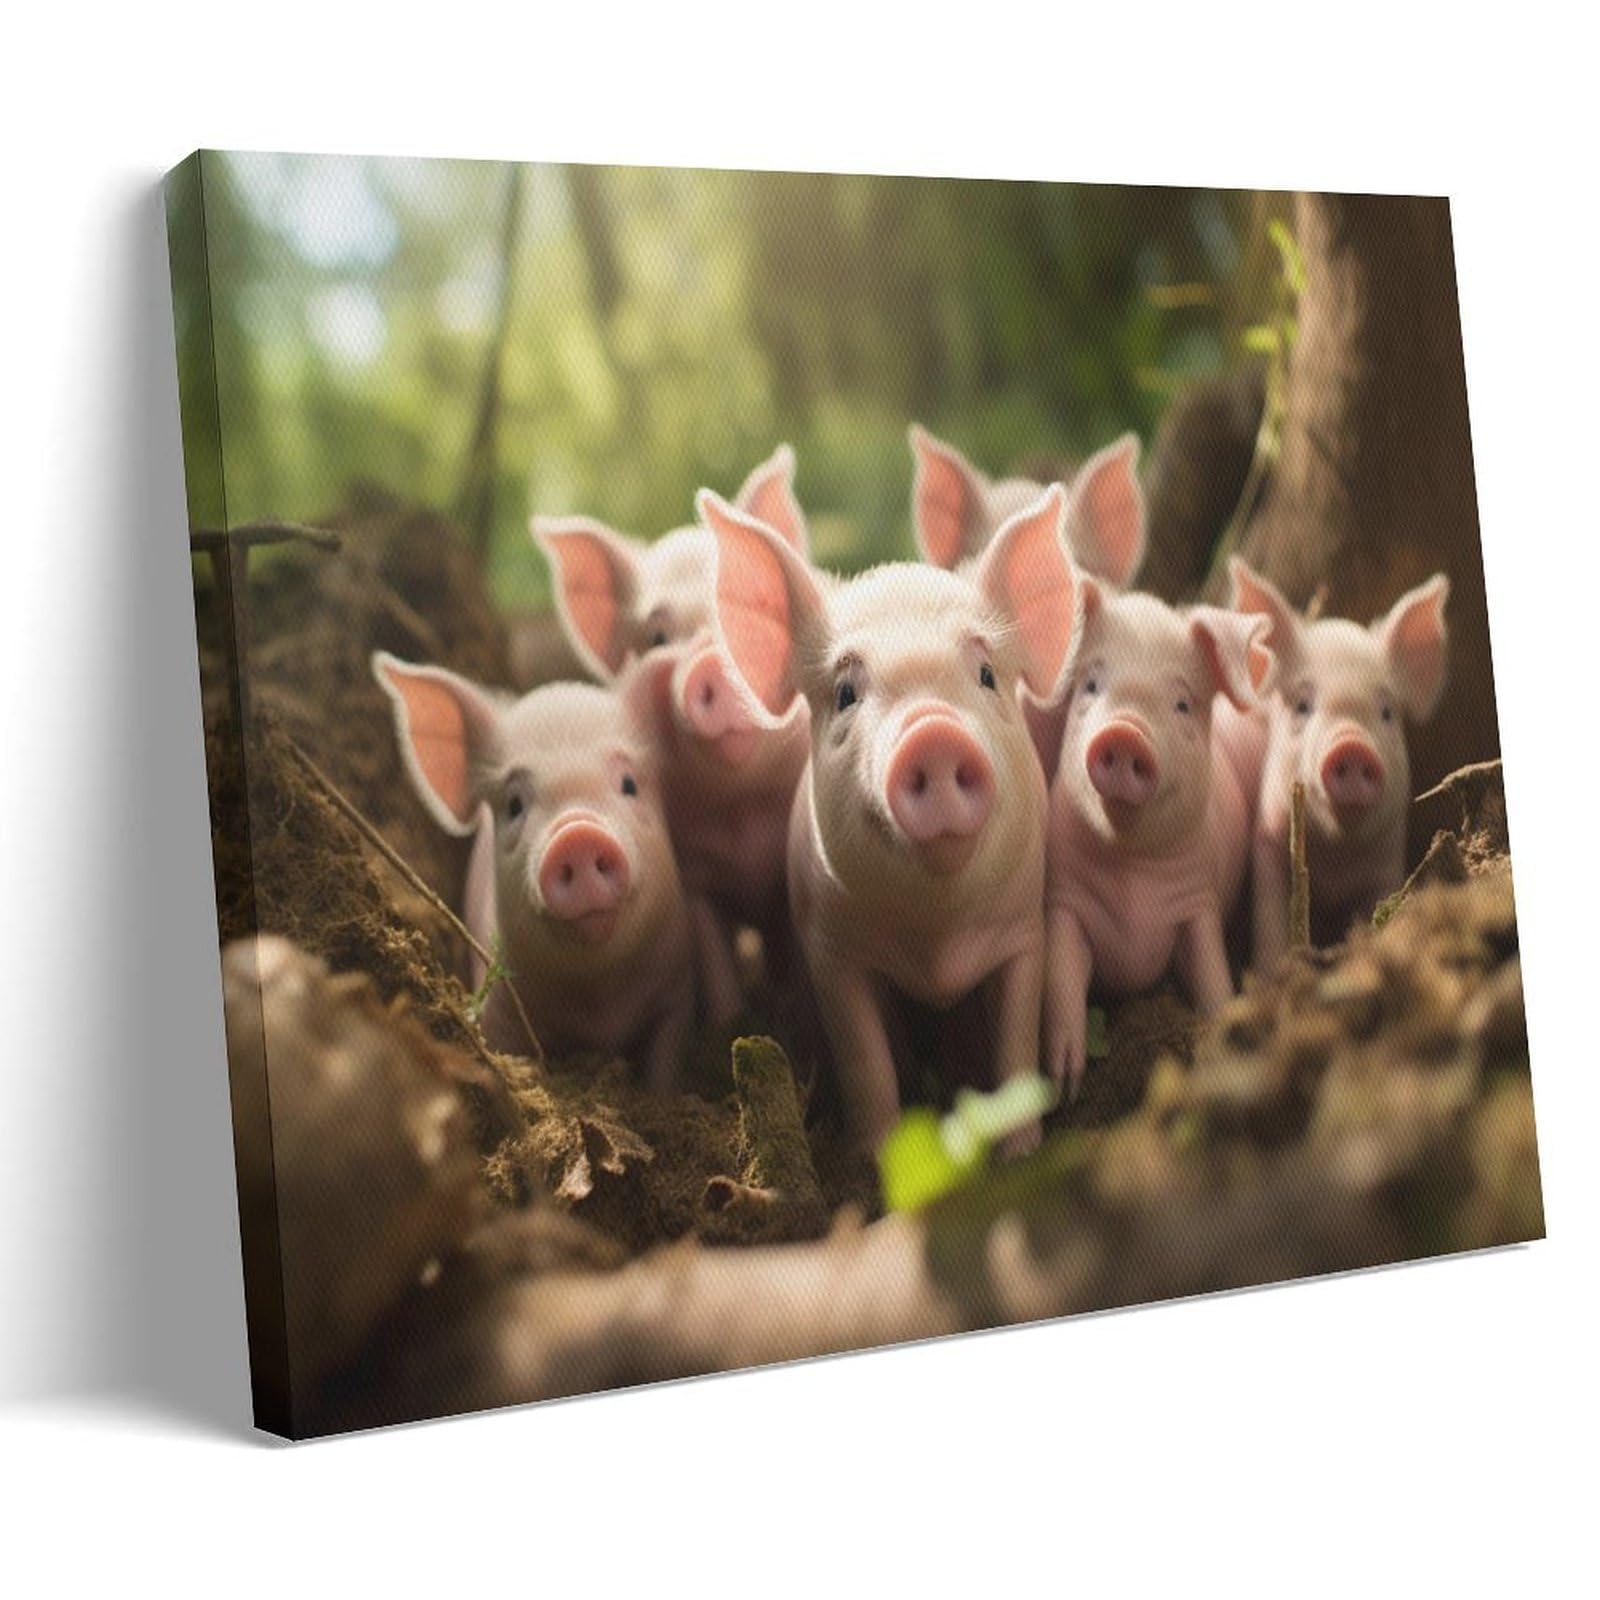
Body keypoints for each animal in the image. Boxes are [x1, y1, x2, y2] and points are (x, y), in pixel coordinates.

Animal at [371, 652, 695, 1088]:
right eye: (514, 805)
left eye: (629, 784)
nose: (577, 833)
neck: (599, 999)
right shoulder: (501, 1009)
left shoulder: (675, 993)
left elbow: (666, 1064)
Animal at [533, 447, 811, 1020]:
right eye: (658, 636)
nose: (713, 662)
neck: (741, 815)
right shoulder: (695, 878)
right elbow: (717, 965)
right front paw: (732, 1022)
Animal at [700, 483, 1079, 1153]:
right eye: (846, 693)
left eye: (986, 675)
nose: (934, 733)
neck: (936, 940)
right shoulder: (832, 951)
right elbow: (865, 1059)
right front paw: (873, 1154)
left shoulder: (1022, 931)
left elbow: (1015, 1044)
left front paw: (1023, 1150)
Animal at [1042, 576, 1272, 1092]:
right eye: (1090, 684)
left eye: (1182, 704)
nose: (1125, 732)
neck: (1132, 883)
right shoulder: (1065, 903)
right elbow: (1063, 976)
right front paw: (1065, 1082)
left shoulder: (1197, 904)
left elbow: (1211, 975)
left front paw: (1219, 1031)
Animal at [1228, 558, 1451, 968]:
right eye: (1302, 705)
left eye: (1387, 712)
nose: (1351, 744)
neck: (1335, 859)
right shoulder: (1268, 842)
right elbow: (1270, 918)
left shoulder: (1385, 861)